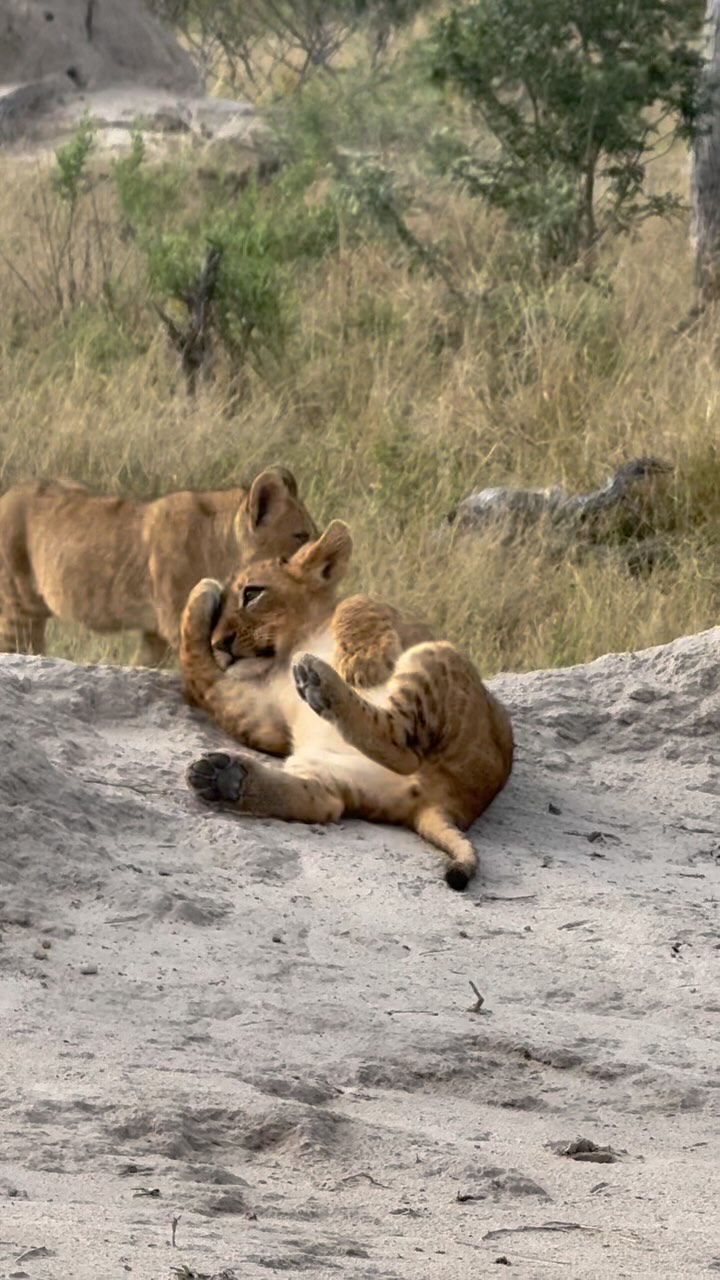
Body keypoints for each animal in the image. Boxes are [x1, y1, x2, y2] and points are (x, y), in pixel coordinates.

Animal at [180, 520, 513, 890]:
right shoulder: (261, 715)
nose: (219, 643)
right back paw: (225, 778)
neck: (296, 643)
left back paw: (318, 679)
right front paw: (201, 597)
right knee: (327, 802)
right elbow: (201, 674)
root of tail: (452, 805)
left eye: (252, 594)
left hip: (436, 654)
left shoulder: (404, 620)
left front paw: (362, 663)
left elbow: (357, 601)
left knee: (401, 746)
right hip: (330, 772)